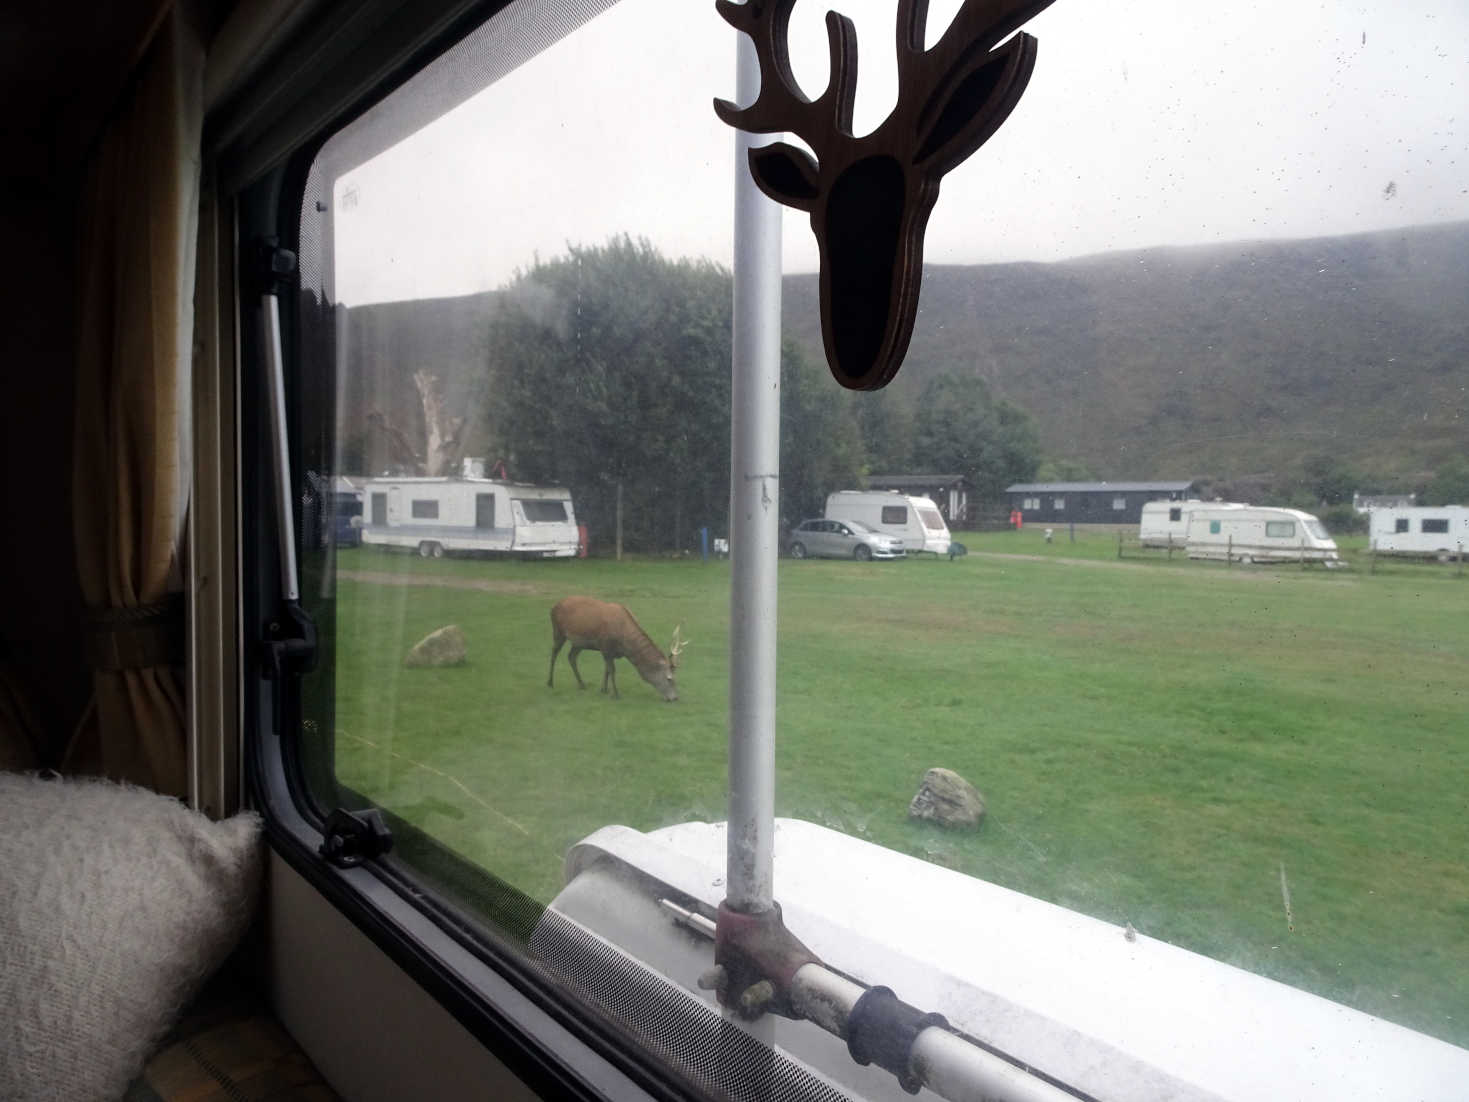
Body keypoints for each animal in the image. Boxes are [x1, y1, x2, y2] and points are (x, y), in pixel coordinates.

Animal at [549, 599, 690, 702]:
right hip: (558, 631)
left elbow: (606, 670)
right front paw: (616, 694)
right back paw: (550, 682)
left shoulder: (610, 652)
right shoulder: (605, 647)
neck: (625, 645)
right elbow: (612, 670)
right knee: (554, 653)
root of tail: (554, 606)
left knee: (571, 656)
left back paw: (581, 684)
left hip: (578, 643)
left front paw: (604, 689)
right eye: (669, 678)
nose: (675, 698)